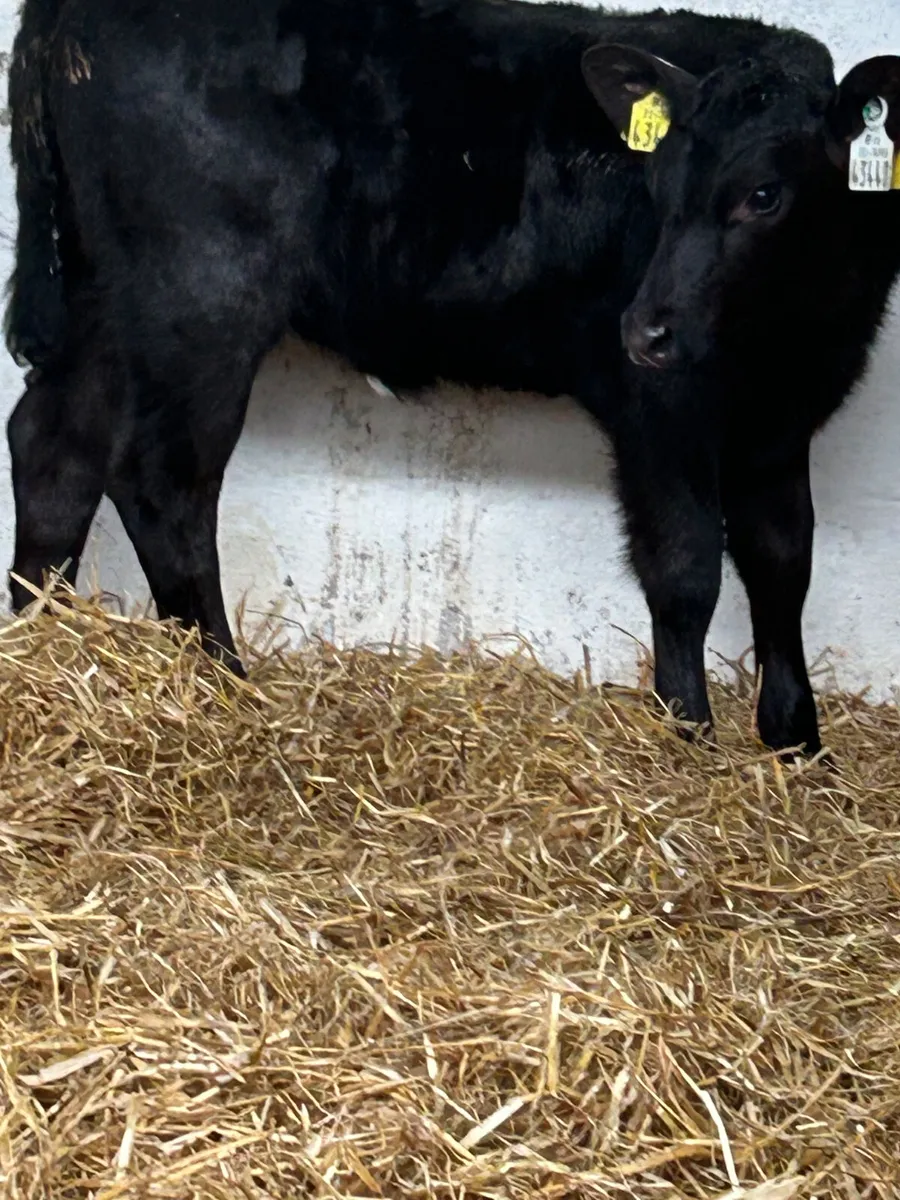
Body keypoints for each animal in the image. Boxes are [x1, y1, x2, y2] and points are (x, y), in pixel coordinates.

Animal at [5, 0, 900, 756]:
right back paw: (221, 678)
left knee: (58, 444)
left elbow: (783, 562)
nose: (645, 329)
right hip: (201, 299)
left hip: (106, 294)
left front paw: (797, 743)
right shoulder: (659, 410)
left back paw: (40, 635)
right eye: (658, 185)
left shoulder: (779, 423)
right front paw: (688, 740)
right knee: (165, 483)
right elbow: (686, 569)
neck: (797, 337)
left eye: (765, 195)